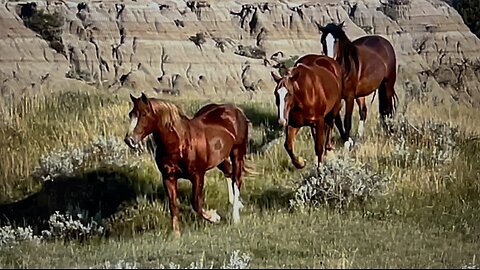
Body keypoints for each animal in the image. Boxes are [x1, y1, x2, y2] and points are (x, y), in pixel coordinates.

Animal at [124, 93, 251, 236]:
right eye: (131, 114)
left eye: (144, 114)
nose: (129, 140)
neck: (180, 143)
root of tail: (236, 110)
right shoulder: (168, 177)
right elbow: (173, 205)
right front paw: (176, 235)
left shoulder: (198, 176)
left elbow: (196, 203)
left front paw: (215, 217)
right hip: (221, 159)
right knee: (229, 174)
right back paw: (237, 204)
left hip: (237, 154)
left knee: (237, 180)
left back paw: (236, 218)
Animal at [316, 20, 400, 150]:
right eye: (323, 40)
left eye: (336, 40)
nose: (329, 61)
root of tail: (385, 42)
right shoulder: (337, 98)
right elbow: (338, 121)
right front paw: (348, 140)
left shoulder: (350, 96)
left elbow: (347, 119)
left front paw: (347, 144)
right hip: (361, 94)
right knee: (363, 112)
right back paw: (360, 137)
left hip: (388, 85)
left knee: (388, 109)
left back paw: (389, 133)